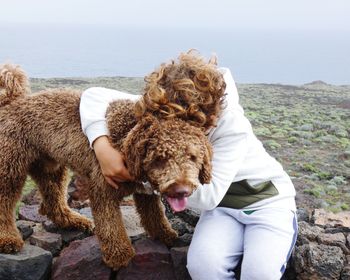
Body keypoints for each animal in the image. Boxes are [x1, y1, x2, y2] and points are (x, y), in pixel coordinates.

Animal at [0, 63, 215, 270]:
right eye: (160, 158)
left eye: (192, 157)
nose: (181, 190)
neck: (127, 137)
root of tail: (11, 101)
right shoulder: (102, 189)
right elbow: (111, 226)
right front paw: (119, 255)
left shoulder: (145, 193)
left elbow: (154, 214)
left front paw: (165, 235)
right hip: (10, 167)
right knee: (5, 202)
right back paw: (8, 239)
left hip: (50, 168)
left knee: (53, 200)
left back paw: (72, 221)